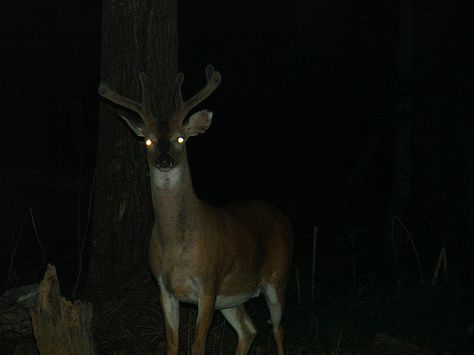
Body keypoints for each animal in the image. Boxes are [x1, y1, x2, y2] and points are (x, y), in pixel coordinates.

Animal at [98, 65, 292, 354]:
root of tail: (282, 218)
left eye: (181, 138)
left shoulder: (209, 284)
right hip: (232, 298)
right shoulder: (164, 289)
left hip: (277, 277)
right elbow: (172, 345)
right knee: (249, 330)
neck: (176, 247)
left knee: (277, 329)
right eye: (148, 141)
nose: (164, 160)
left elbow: (197, 347)